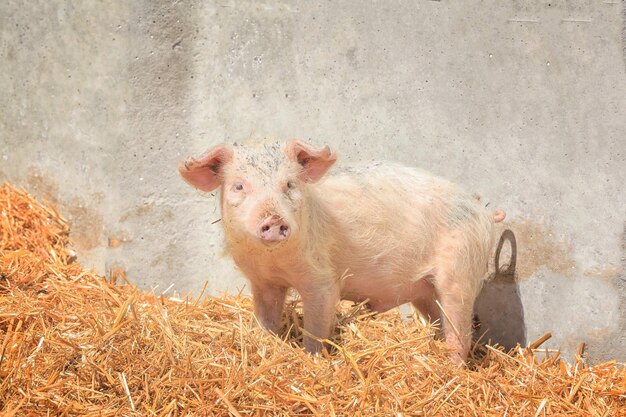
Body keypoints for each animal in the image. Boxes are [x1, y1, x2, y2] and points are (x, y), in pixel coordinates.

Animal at [178, 140, 504, 360]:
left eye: (289, 184)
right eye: (239, 186)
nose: (275, 221)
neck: (275, 262)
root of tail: (482, 209)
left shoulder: (322, 281)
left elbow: (316, 325)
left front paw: (310, 357)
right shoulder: (262, 282)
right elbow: (266, 318)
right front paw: (266, 344)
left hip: (461, 267)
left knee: (460, 327)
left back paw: (451, 365)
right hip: (426, 290)